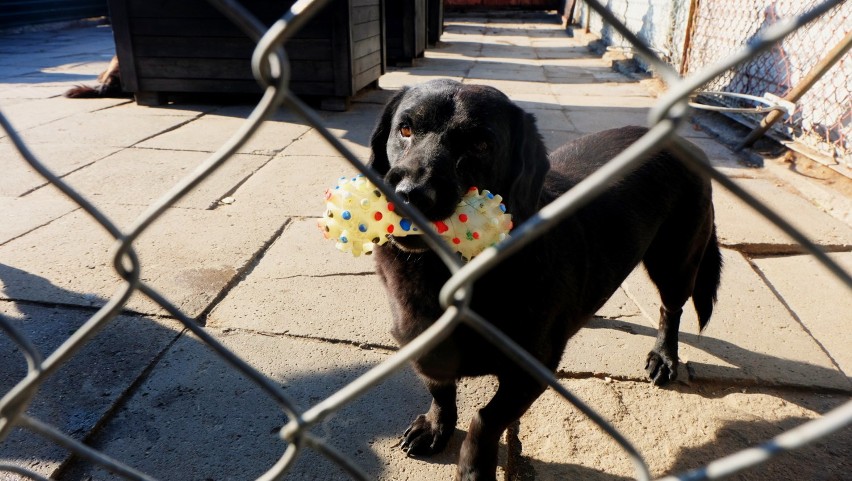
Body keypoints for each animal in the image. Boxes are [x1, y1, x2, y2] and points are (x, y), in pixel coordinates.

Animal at [370, 79, 724, 480]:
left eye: (480, 144)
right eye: (405, 129)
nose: (409, 195)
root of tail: (686, 144)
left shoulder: (532, 371)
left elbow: (485, 420)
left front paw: (475, 466)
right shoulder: (424, 346)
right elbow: (441, 392)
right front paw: (435, 428)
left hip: (676, 262)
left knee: (671, 309)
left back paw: (665, 357)